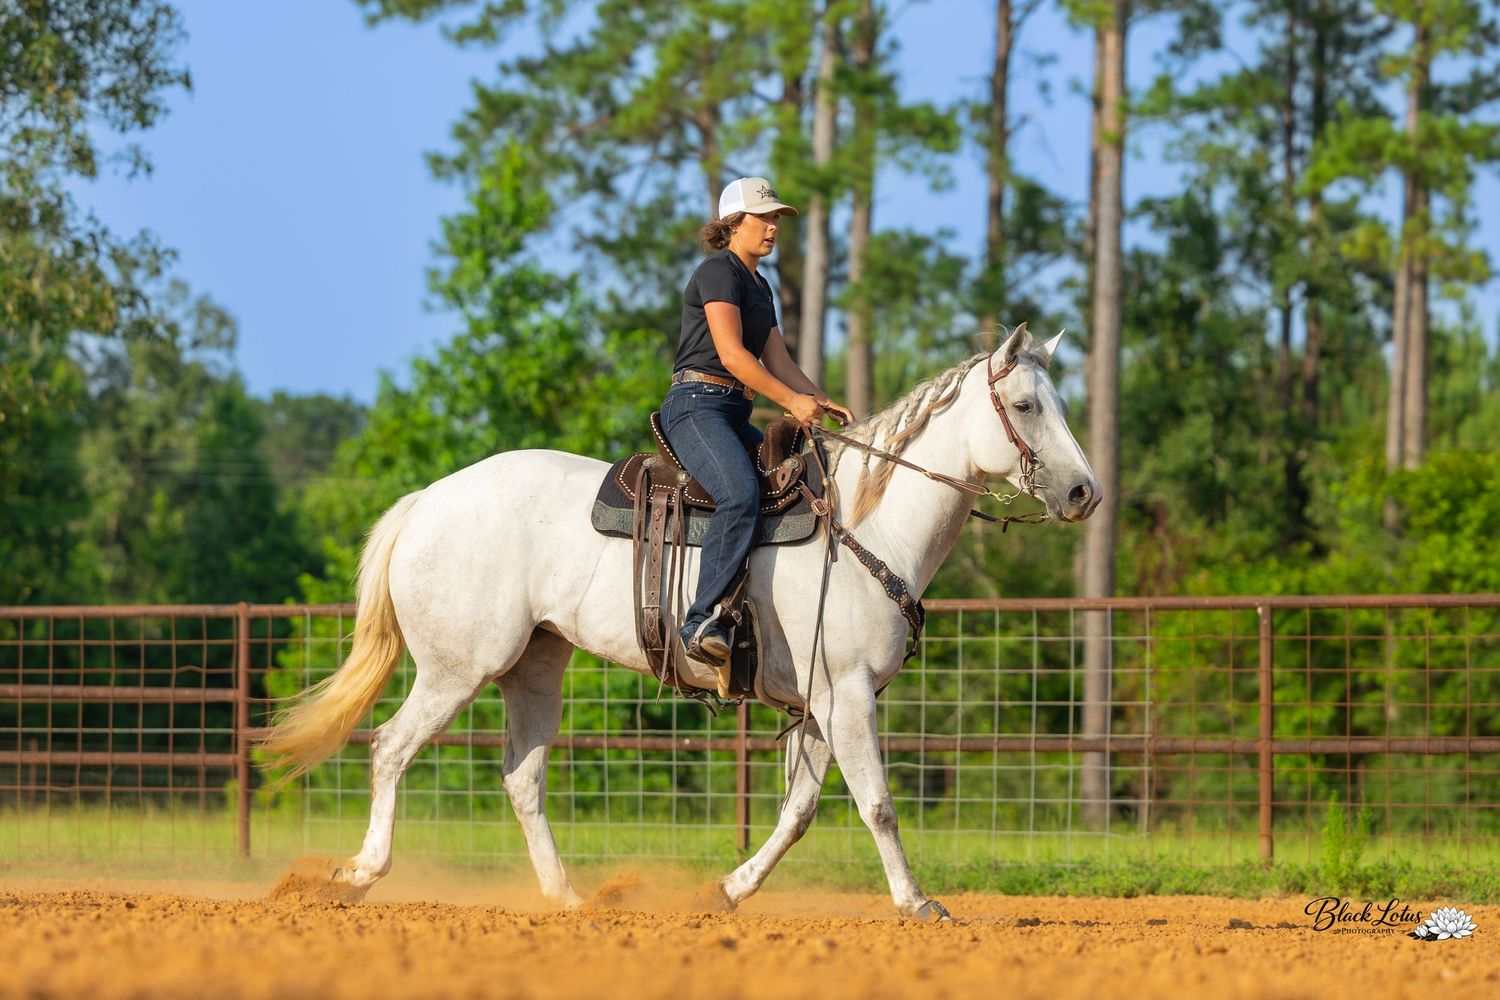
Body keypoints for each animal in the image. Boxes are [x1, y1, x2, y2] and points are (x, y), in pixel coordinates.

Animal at [259, 324, 1099, 920]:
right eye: (1026, 406)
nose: (1084, 492)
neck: (868, 526)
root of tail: (427, 500)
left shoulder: (820, 706)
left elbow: (797, 813)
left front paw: (726, 891)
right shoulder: (848, 696)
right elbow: (878, 806)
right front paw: (919, 904)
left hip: (534, 667)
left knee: (522, 778)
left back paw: (567, 898)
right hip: (456, 668)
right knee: (392, 748)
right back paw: (358, 874)